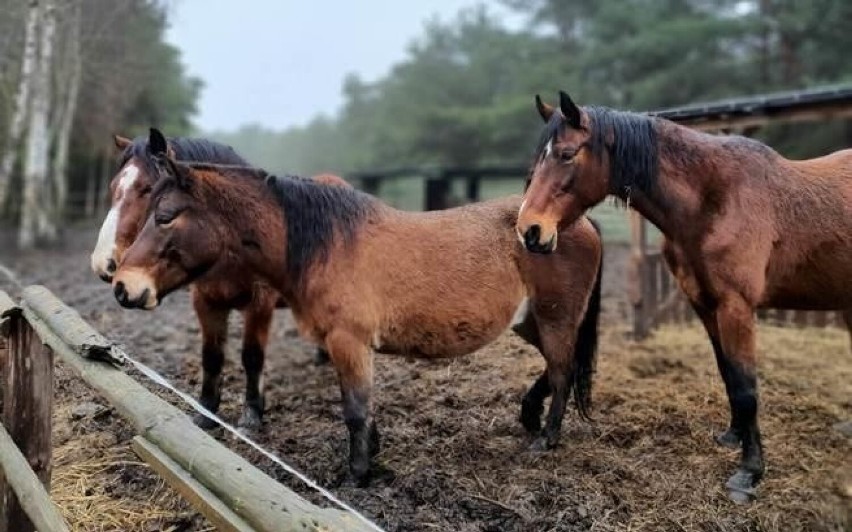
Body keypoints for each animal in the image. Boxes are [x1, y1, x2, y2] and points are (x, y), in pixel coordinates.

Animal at [87, 131, 340, 430]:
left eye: (148, 188)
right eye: (114, 186)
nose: (104, 263)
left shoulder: (260, 305)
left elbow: (252, 356)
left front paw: (252, 413)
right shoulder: (207, 303)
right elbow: (211, 356)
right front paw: (206, 411)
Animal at [115, 134, 604, 486]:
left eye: (165, 215)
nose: (123, 286)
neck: (324, 243)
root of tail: (570, 222)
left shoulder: (349, 342)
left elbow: (354, 408)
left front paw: (359, 473)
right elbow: (359, 408)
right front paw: (372, 452)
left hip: (555, 317)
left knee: (563, 371)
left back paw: (547, 438)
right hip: (530, 322)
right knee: (557, 366)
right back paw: (529, 416)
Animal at [512, 91, 852, 502]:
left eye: (566, 154)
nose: (530, 230)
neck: (716, 198)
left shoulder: (736, 306)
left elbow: (747, 387)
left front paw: (749, 472)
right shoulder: (704, 303)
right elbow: (728, 373)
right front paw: (733, 436)